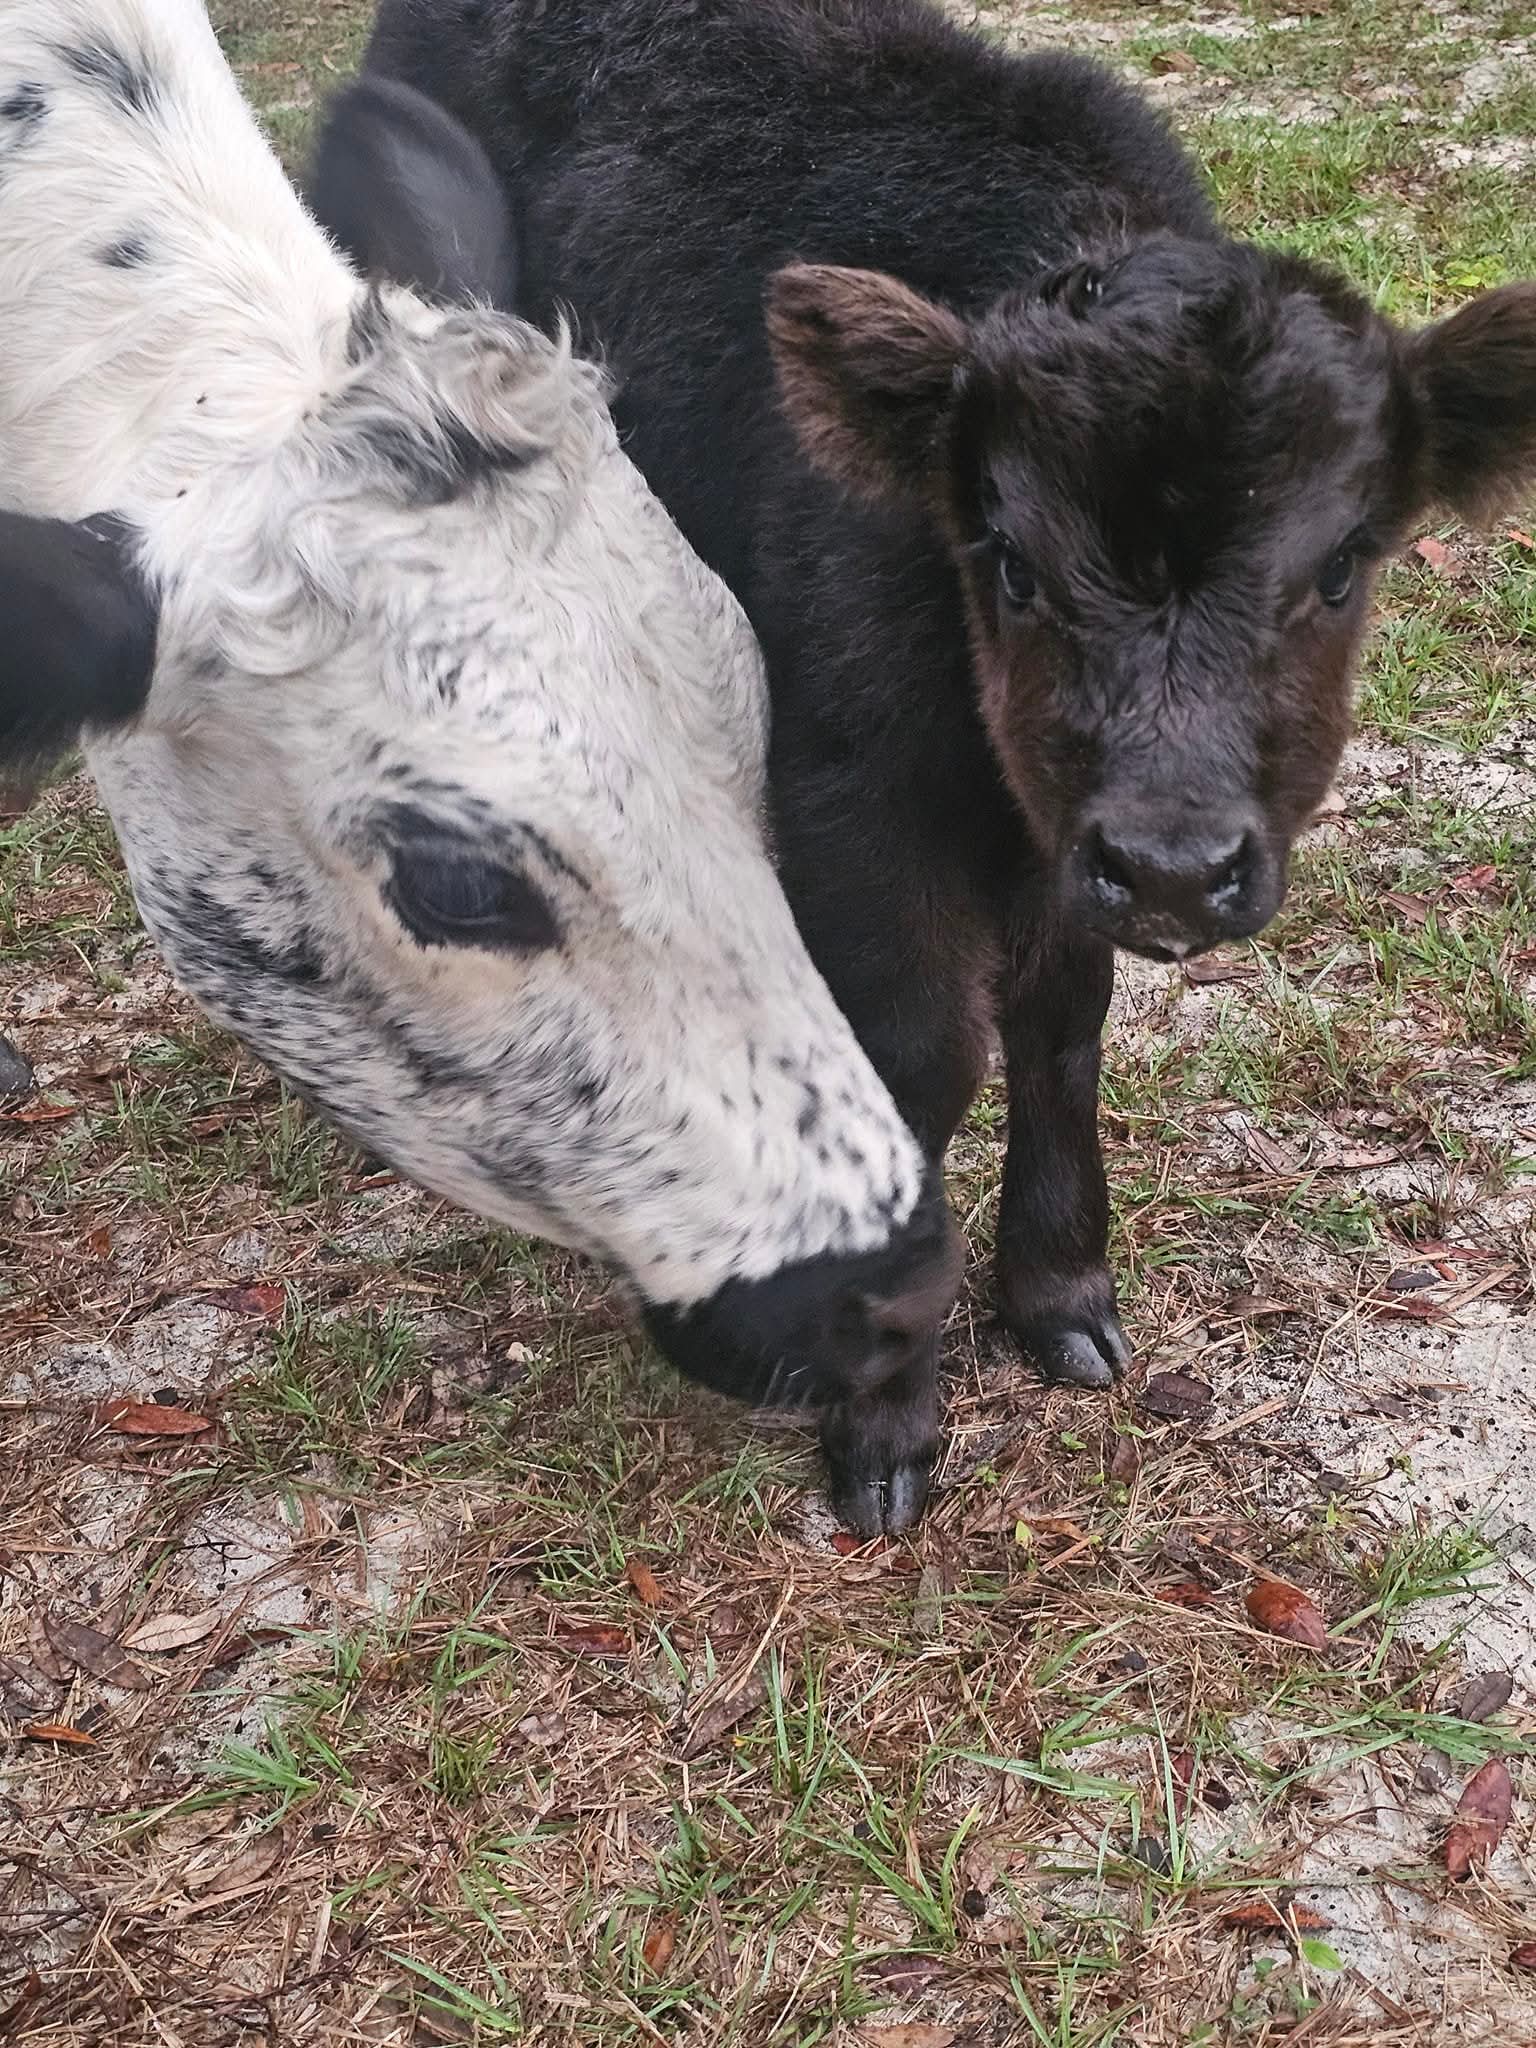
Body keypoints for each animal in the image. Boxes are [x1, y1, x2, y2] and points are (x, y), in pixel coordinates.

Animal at [338, 0, 1536, 1438]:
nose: (1176, 868)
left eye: (1343, 565)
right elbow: (922, 1056)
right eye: (1007, 558)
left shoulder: (1059, 833)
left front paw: (1061, 1295)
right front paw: (865, 1396)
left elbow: (1061, 1025)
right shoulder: (854, 791)